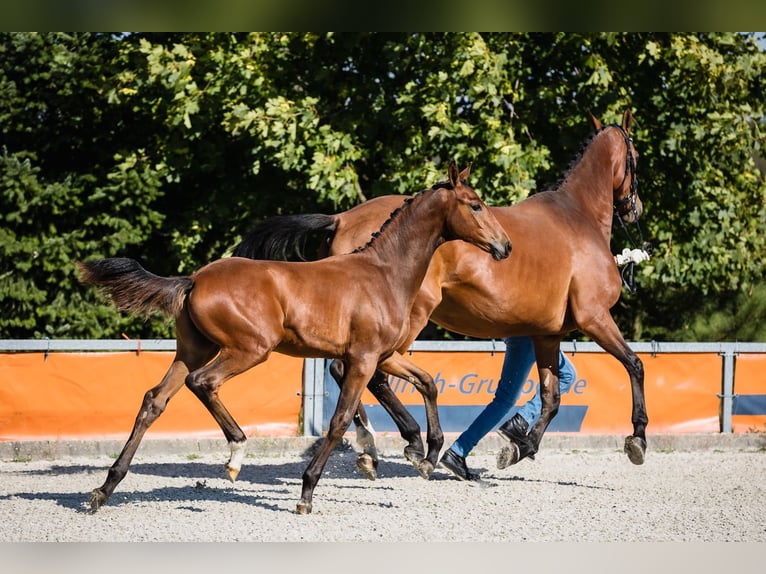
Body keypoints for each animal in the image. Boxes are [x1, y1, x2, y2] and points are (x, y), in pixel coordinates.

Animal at [78, 160, 512, 516]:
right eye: (475, 205)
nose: (504, 246)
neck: (384, 273)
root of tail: (193, 279)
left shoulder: (385, 355)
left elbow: (428, 382)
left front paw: (426, 456)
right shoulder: (364, 358)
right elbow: (338, 421)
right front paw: (307, 493)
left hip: (194, 349)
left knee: (154, 401)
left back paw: (104, 489)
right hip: (249, 349)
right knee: (202, 383)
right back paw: (235, 455)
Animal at [234, 110, 648, 480]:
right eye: (636, 155)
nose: (636, 208)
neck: (578, 218)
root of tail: (343, 218)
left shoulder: (547, 333)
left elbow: (553, 396)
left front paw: (519, 446)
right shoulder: (595, 316)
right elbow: (634, 365)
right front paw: (637, 439)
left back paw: (382, 448)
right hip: (408, 319)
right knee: (364, 374)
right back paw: (404, 443)